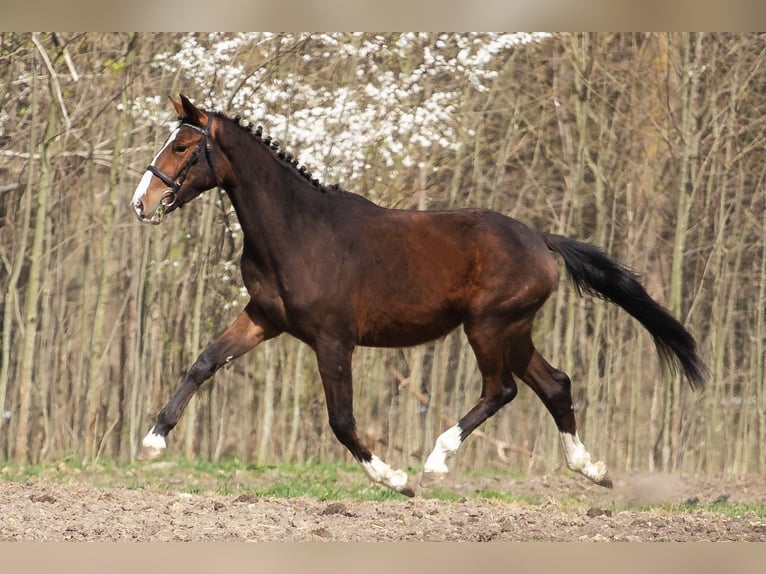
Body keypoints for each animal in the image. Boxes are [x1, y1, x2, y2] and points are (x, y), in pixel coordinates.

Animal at [131, 95, 706, 496]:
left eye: (182, 147)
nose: (141, 202)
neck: (296, 231)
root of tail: (542, 240)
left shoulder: (333, 339)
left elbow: (341, 420)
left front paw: (395, 479)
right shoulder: (263, 318)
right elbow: (205, 362)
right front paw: (153, 442)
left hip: (488, 326)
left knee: (502, 390)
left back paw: (435, 462)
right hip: (514, 331)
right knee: (556, 385)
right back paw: (592, 470)